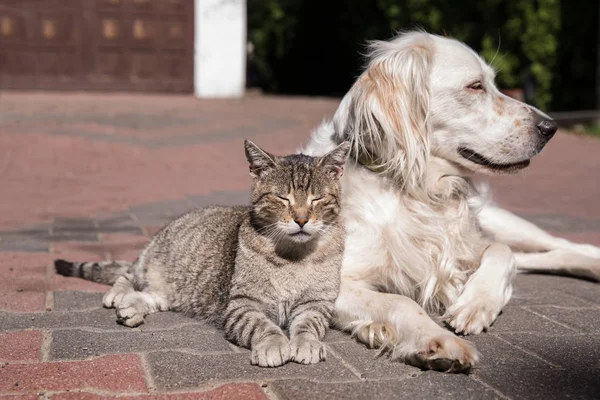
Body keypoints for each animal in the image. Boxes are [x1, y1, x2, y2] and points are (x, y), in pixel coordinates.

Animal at [55, 139, 352, 368]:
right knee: (127, 273)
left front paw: (307, 343)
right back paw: (119, 295)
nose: (301, 219)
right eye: (282, 198)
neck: (294, 255)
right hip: (150, 264)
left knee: (151, 295)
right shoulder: (242, 304)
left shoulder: (317, 304)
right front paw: (274, 344)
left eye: (317, 199)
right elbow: (263, 326)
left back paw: (131, 308)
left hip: (176, 292)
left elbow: (308, 325)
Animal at [304, 30, 600, 372]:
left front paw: (476, 303)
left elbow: (501, 252)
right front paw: (436, 341)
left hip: (502, 220)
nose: (550, 127)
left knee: (561, 245)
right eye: (475, 86)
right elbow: (400, 301)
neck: (417, 192)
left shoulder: (467, 247)